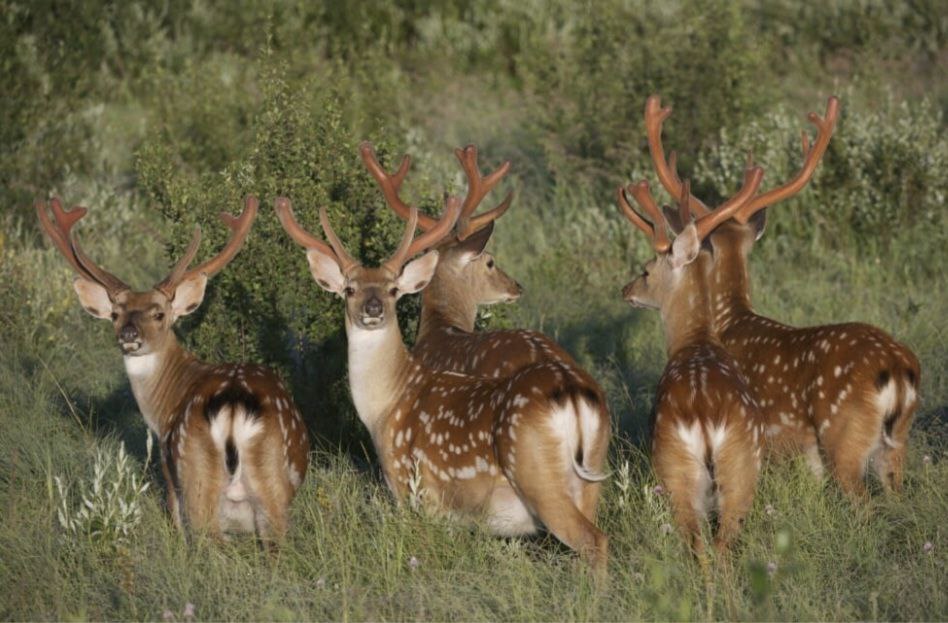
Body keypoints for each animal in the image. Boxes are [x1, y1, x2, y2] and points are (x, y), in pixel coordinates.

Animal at [38, 196, 308, 540]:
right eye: (115, 314)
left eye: (159, 314)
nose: (129, 336)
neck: (162, 407)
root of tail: (234, 404)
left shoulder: (168, 471)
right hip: (273, 479)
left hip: (193, 471)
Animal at [276, 190, 608, 576]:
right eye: (349, 289)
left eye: (393, 289)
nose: (373, 308)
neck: (385, 405)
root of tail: (573, 394)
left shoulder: (412, 490)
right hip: (591, 474)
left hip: (537, 474)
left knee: (593, 540)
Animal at [620, 160, 768, 552]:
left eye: (646, 269)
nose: (626, 290)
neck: (694, 341)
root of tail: (705, 420)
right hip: (740, 467)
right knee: (720, 545)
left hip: (678, 468)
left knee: (700, 544)